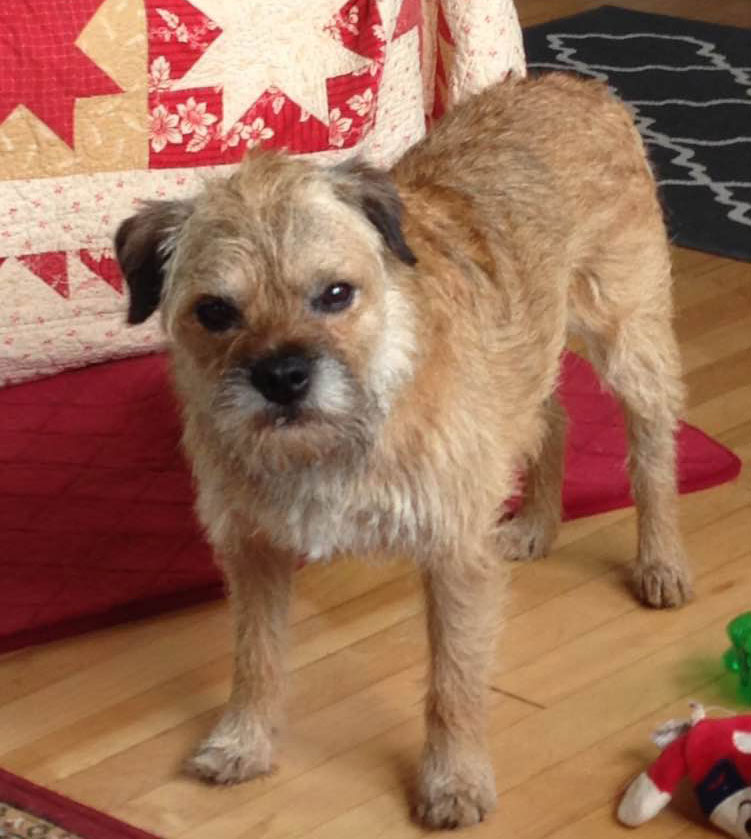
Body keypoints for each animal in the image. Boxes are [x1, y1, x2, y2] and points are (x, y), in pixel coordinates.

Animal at [115, 72, 692, 829]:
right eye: (214, 312)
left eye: (336, 293)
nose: (282, 376)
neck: (340, 434)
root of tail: (573, 83)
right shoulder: (254, 549)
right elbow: (256, 656)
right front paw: (246, 740)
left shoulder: (451, 554)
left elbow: (453, 682)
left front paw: (454, 780)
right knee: (553, 416)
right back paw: (537, 523)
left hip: (627, 336)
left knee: (650, 449)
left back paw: (660, 561)